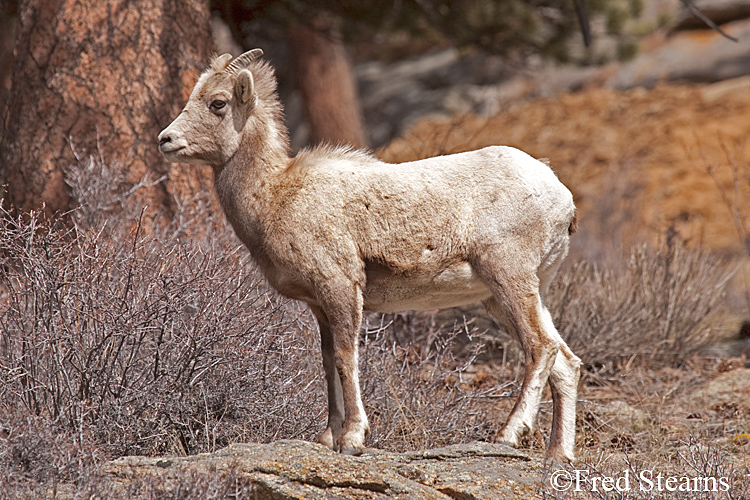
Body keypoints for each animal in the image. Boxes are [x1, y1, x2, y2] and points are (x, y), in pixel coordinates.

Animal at [157, 49, 580, 460]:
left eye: (218, 103)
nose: (165, 139)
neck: (276, 195)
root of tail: (560, 194)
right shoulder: (319, 305)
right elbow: (328, 363)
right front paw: (327, 437)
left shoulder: (341, 288)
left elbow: (347, 358)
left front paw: (352, 439)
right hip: (507, 296)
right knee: (565, 362)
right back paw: (559, 455)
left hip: (509, 278)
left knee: (541, 348)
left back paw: (508, 435)